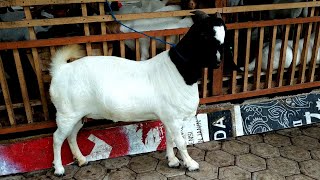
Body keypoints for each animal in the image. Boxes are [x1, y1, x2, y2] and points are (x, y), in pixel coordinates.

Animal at [50, 10, 225, 176]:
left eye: (224, 36)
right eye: (204, 35)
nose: (218, 62)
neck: (178, 70)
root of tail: (61, 70)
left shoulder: (168, 117)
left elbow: (169, 139)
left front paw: (173, 161)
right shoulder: (174, 118)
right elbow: (180, 142)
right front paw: (191, 164)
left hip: (78, 115)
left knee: (71, 135)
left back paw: (81, 160)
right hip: (66, 113)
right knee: (57, 138)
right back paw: (59, 169)